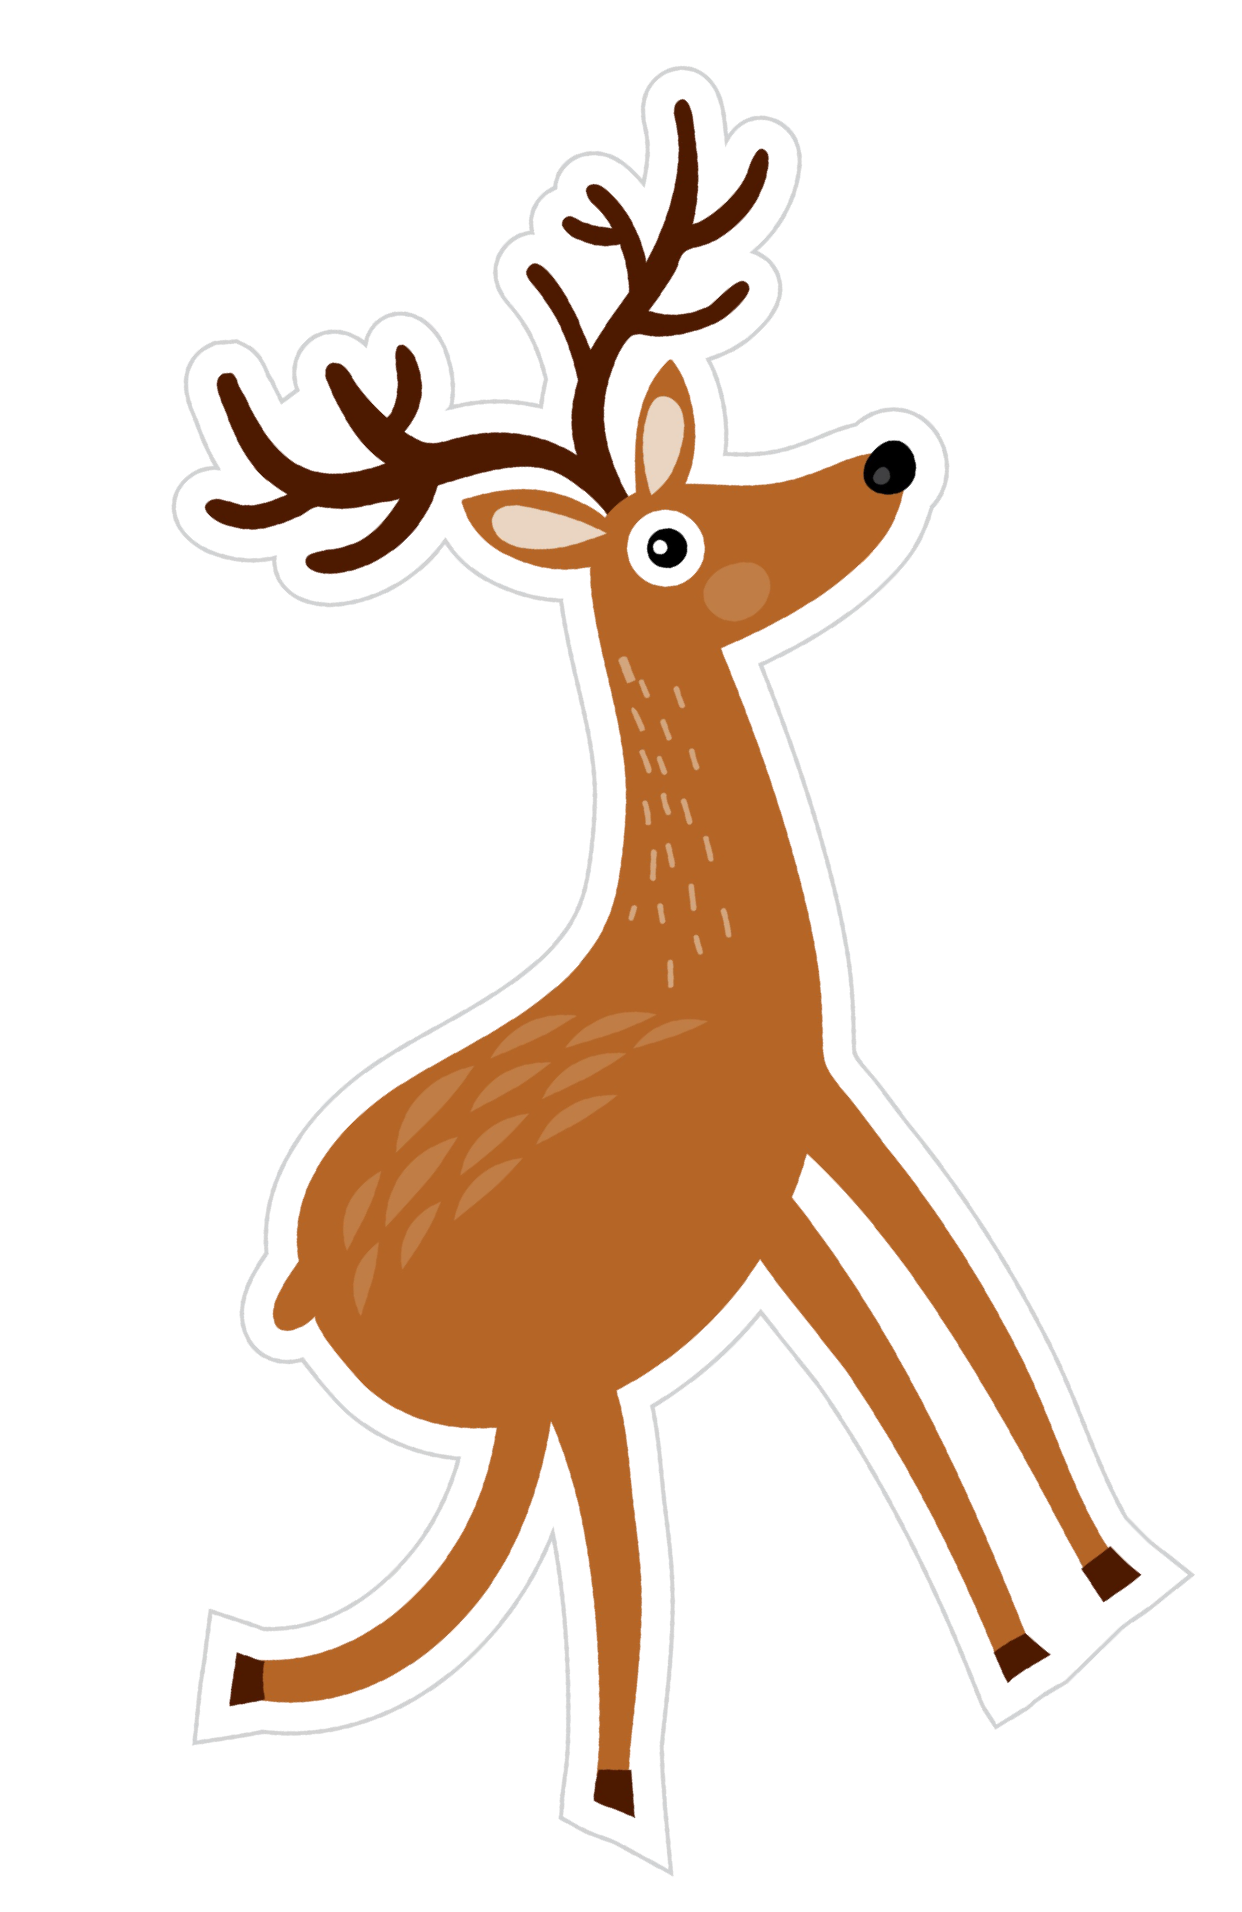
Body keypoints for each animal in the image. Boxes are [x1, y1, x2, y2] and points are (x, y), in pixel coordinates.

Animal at [182, 81, 1142, 1827]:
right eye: (667, 544)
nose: (891, 459)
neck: (704, 965)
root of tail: (299, 1292)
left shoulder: (785, 1176)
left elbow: (934, 1338)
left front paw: (1083, 1589)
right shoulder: (796, 1150)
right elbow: (923, 1360)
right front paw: (1041, 1628)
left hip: (544, 1391)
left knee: (497, 1560)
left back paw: (269, 1683)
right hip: (565, 1369)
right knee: (592, 1554)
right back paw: (612, 1796)